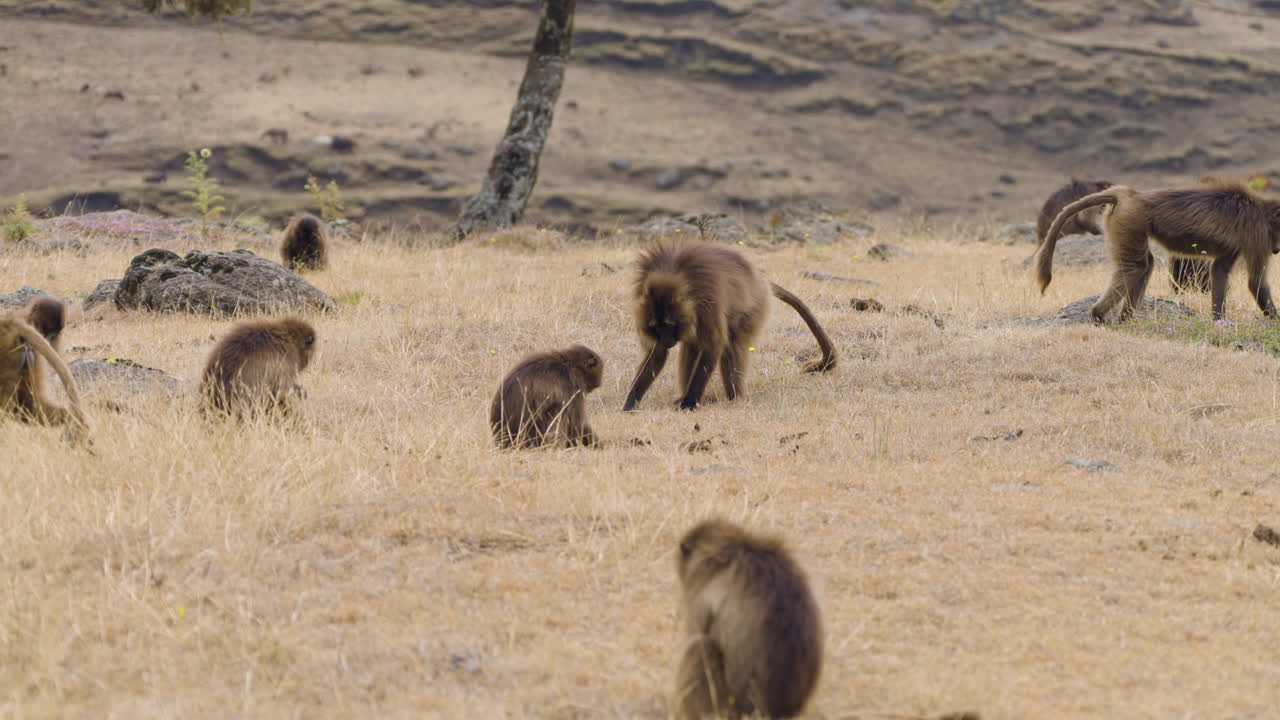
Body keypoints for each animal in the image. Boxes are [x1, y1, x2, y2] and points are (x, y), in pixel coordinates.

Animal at [622, 241, 836, 412]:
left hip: (754, 308)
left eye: (668, 324)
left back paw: (733, 398)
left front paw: (689, 403)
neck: (674, 273)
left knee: (731, 345)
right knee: (692, 347)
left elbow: (714, 345)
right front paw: (630, 404)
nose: (667, 341)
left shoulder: (708, 302)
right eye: (656, 327)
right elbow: (656, 354)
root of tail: (761, 280)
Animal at [1037, 180, 1280, 323]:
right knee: (1136, 267)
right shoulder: (1258, 235)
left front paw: (1218, 320)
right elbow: (1256, 282)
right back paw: (1098, 315)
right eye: (1278, 235)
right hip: (1131, 219)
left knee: (1145, 266)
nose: (1277, 250)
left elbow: (1220, 270)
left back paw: (1126, 321)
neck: (1263, 209)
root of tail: (1131, 195)